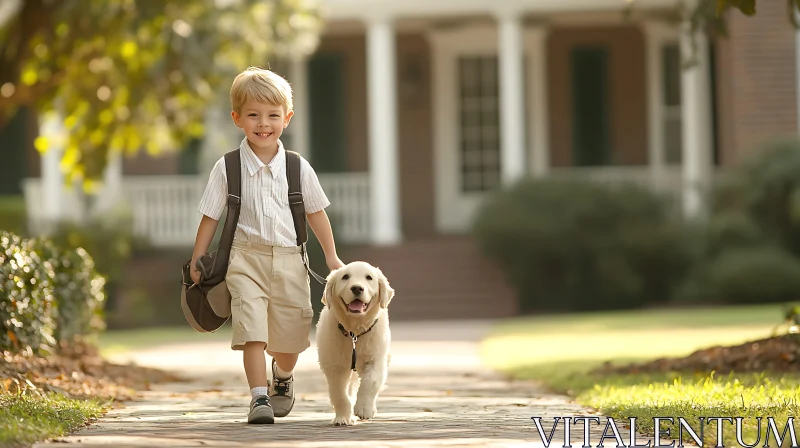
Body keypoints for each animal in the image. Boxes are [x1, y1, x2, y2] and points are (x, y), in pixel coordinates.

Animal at [316, 262, 396, 428]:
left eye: (369, 277)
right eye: (345, 277)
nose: (357, 288)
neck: (355, 332)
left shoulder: (376, 359)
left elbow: (370, 382)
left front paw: (364, 409)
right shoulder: (335, 366)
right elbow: (339, 394)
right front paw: (343, 417)